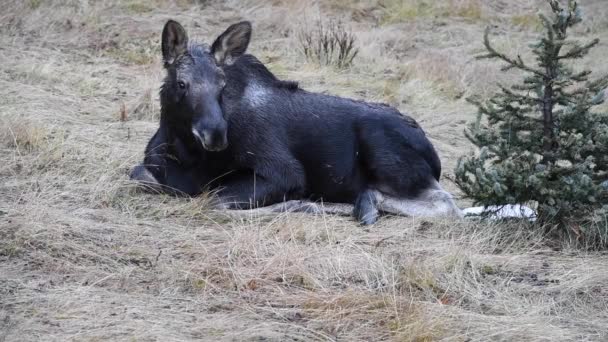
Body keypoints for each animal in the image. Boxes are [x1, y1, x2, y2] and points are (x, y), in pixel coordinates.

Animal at [132, 21, 460, 224]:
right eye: (182, 83)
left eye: (222, 85)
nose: (214, 135)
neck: (185, 152)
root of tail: (433, 155)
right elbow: (139, 175)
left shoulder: (284, 172)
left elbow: (214, 203)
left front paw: (301, 204)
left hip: (386, 154)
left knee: (447, 204)